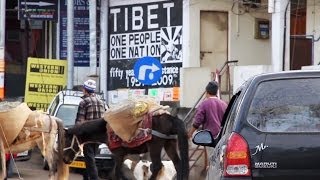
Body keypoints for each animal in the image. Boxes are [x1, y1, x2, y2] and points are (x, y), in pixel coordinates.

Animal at [62, 114, 190, 180]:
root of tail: (170, 118)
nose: (65, 159)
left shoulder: (118, 154)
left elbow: (116, 173)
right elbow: (118, 173)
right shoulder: (122, 156)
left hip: (155, 146)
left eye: (67, 141)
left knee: (157, 166)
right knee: (178, 164)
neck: (105, 130)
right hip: (169, 144)